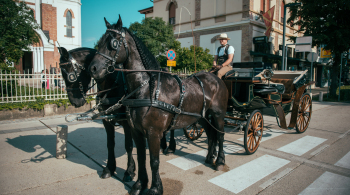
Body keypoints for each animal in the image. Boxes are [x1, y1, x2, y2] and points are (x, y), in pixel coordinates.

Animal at [57, 46, 135, 181]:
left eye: (70, 75)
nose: (74, 102)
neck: (113, 85)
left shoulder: (126, 122)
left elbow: (128, 145)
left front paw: (129, 171)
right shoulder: (106, 120)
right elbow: (110, 144)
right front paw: (109, 168)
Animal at [89, 16, 228, 194]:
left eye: (113, 43)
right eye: (99, 42)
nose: (93, 68)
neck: (147, 87)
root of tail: (215, 78)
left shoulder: (153, 133)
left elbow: (154, 161)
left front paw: (155, 188)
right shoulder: (136, 131)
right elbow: (141, 157)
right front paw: (139, 184)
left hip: (218, 115)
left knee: (220, 135)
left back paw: (220, 161)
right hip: (201, 116)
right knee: (211, 134)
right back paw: (210, 157)